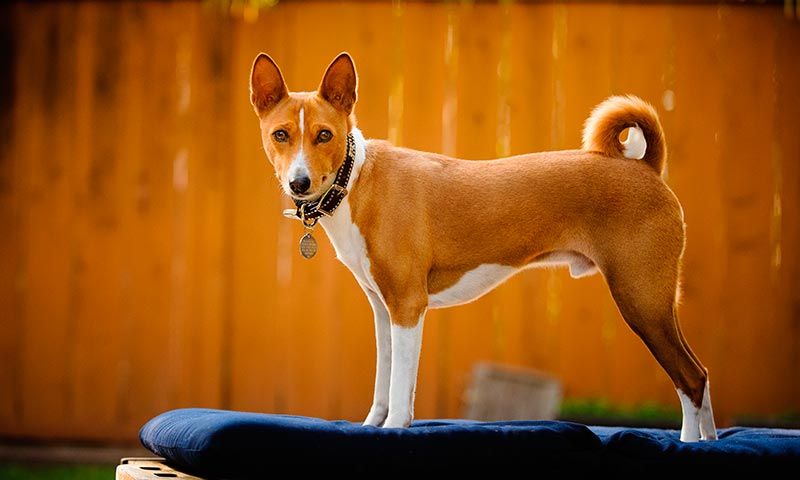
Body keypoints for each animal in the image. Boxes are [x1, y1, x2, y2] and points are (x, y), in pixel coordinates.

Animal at [248, 52, 720, 442]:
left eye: (324, 135)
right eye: (281, 135)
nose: (299, 182)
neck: (357, 181)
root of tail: (647, 168)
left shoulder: (408, 305)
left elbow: (401, 389)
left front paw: (395, 428)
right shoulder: (383, 309)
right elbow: (384, 382)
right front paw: (371, 426)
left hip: (641, 299)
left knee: (691, 377)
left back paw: (691, 444)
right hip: (653, 302)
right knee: (700, 375)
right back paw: (711, 439)